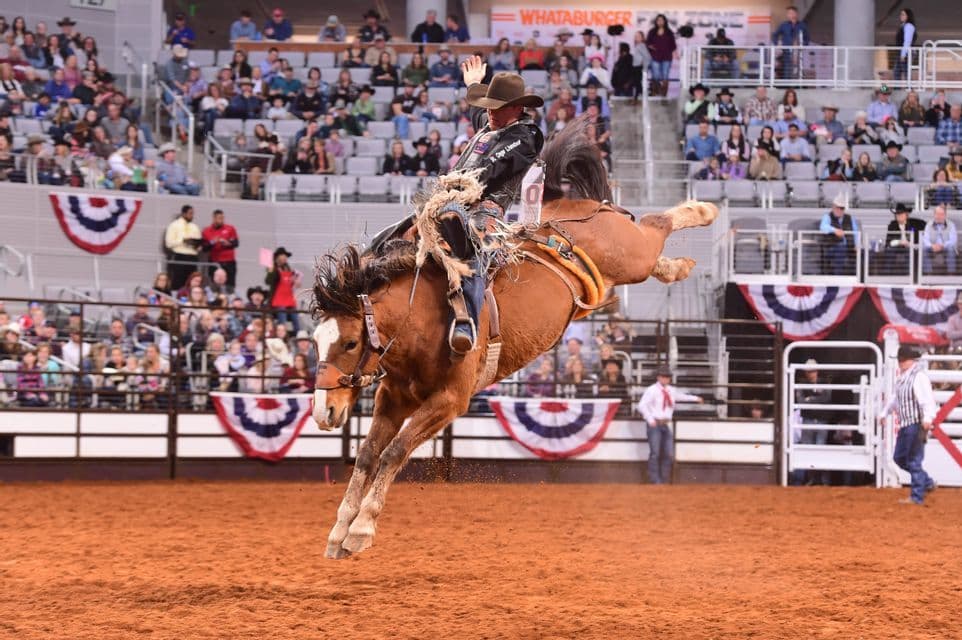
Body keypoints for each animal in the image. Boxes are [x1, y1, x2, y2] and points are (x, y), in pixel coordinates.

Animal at [310, 119, 718, 558]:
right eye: (315, 341)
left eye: (350, 343)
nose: (323, 411)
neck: (420, 317)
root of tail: (568, 210)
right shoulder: (395, 396)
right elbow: (369, 454)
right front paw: (339, 530)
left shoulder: (450, 400)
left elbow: (394, 452)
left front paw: (360, 529)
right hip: (624, 263)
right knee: (653, 246)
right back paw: (678, 264)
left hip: (629, 253)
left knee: (656, 225)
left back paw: (704, 211)